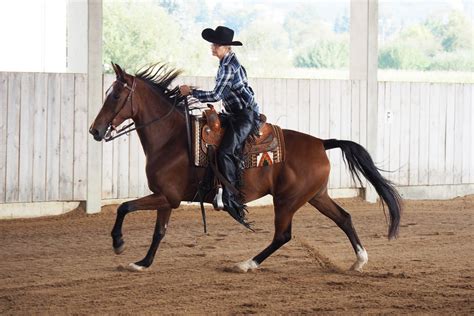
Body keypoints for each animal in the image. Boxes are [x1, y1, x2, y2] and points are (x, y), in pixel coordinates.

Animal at [88, 63, 400, 272]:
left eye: (115, 96)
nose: (95, 130)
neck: (173, 139)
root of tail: (322, 143)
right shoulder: (166, 197)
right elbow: (158, 231)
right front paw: (143, 262)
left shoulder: (168, 197)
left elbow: (124, 206)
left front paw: (118, 243)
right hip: (316, 196)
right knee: (344, 218)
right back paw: (359, 261)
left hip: (287, 200)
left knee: (283, 235)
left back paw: (246, 263)